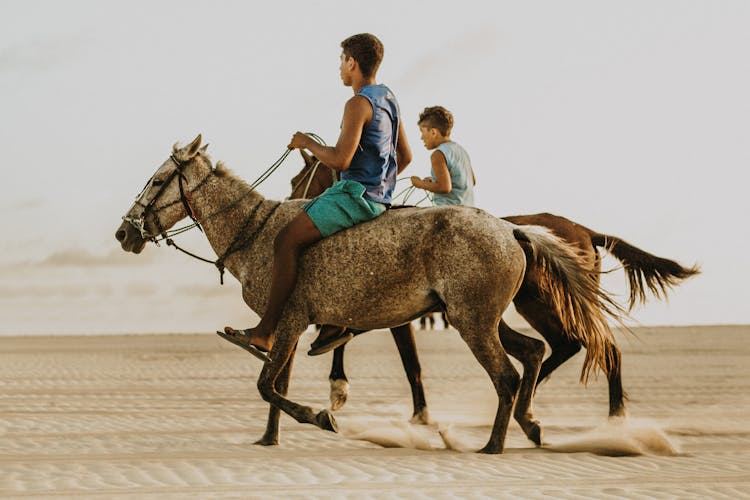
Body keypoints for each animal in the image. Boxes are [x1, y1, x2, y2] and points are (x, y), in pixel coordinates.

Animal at [116, 136, 624, 454]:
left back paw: (493, 445)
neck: (256, 231)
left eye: (158, 180)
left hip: (474, 322)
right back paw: (530, 423)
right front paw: (269, 439)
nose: (124, 233)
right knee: (534, 352)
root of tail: (512, 229)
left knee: (507, 374)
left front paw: (321, 416)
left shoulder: (290, 319)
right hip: (483, 317)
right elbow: (276, 384)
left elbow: (267, 384)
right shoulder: (292, 326)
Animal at [292, 150, 700, 444]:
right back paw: (532, 408)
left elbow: (406, 362)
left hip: (546, 304)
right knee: (565, 346)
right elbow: (351, 337)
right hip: (536, 306)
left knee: (595, 346)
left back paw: (612, 421)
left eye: (299, 179)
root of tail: (583, 230)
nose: (293, 202)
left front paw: (346, 389)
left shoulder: (395, 315)